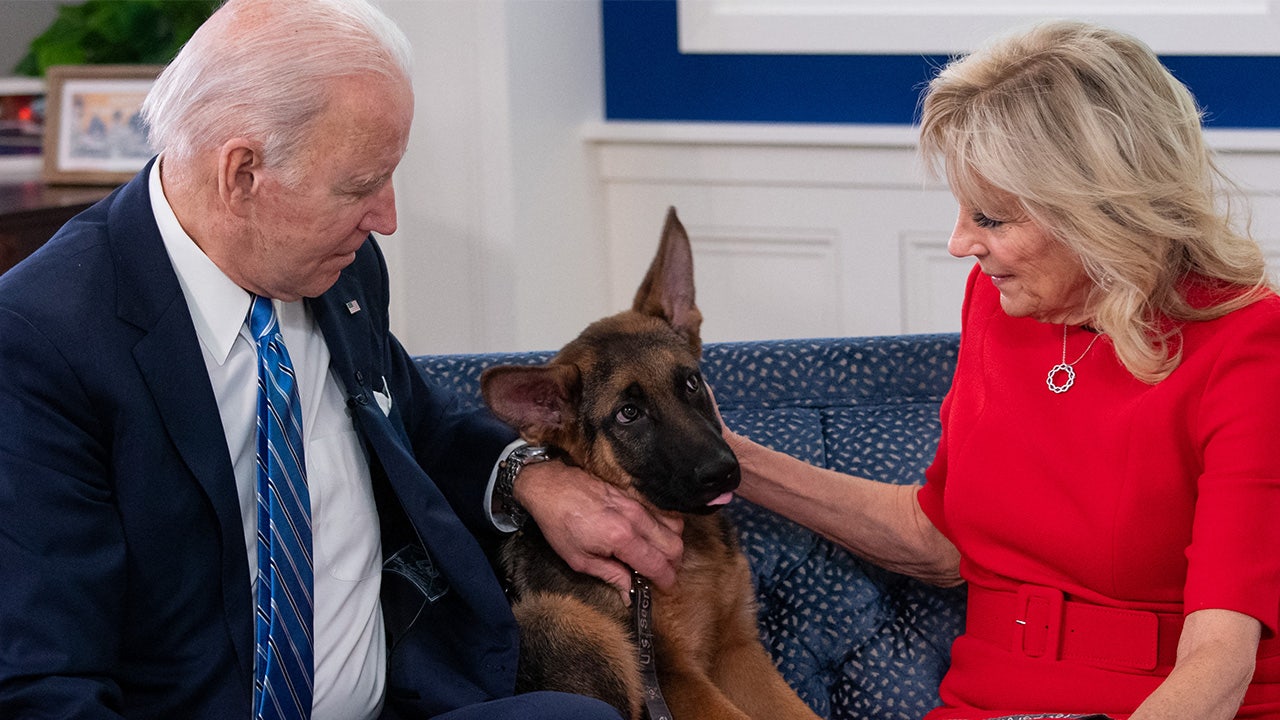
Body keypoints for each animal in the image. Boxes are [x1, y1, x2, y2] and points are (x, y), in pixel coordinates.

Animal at [478, 207, 819, 717]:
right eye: (628, 414)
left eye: (692, 383)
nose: (723, 472)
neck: (690, 544)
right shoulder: (677, 677)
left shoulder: (737, 651)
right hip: (565, 620)